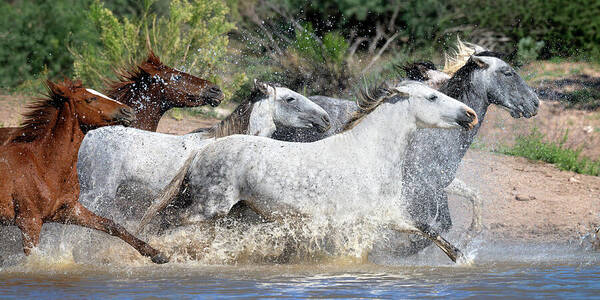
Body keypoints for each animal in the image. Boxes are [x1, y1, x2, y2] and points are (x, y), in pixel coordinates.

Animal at [0, 78, 169, 264]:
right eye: (90, 99)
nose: (129, 111)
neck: (43, 165)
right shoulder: (29, 221)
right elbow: (33, 257)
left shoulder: (69, 210)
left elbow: (112, 225)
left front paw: (157, 254)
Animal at [141, 80, 478, 262]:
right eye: (433, 97)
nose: (470, 114)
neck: (367, 155)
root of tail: (203, 149)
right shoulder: (357, 221)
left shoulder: (388, 215)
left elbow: (431, 232)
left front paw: (465, 261)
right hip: (208, 208)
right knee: (170, 223)